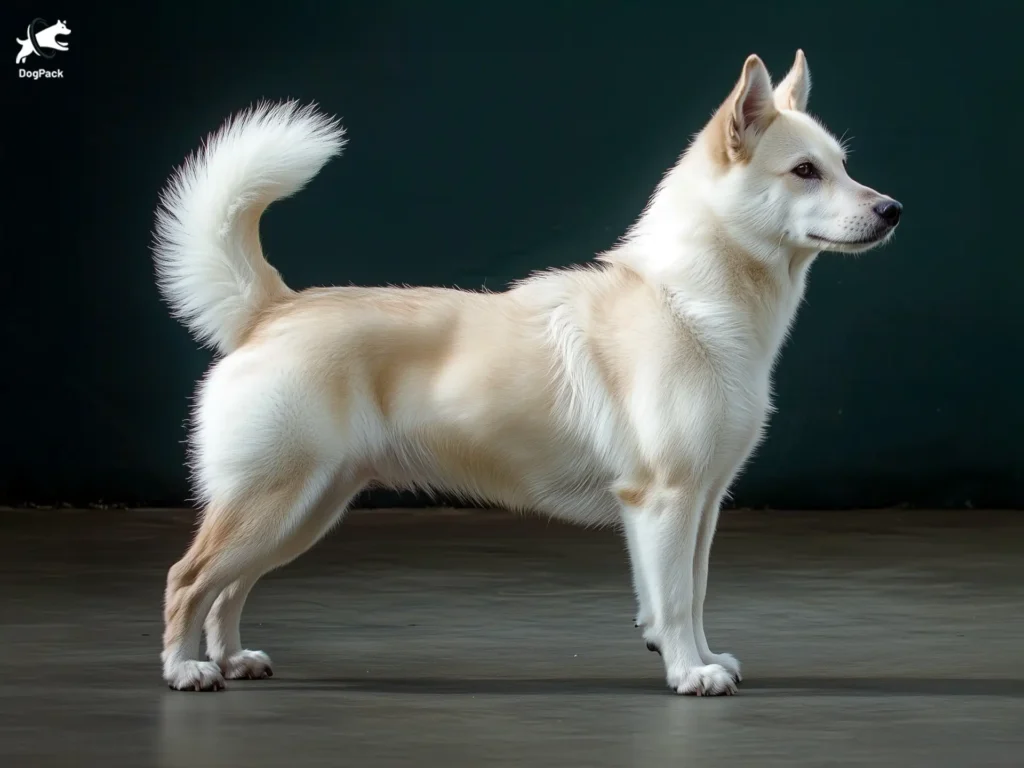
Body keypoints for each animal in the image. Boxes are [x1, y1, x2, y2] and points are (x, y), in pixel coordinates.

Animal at [153, 49, 905, 696]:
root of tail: (272, 308)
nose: (892, 210)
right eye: (804, 171)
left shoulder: (703, 504)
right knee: (189, 579)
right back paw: (187, 670)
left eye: (842, 166)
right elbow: (673, 600)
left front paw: (702, 656)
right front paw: (690, 674)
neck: (689, 302)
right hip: (273, 500)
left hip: (305, 508)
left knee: (228, 589)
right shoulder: (665, 500)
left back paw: (233, 659)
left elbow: (689, 597)